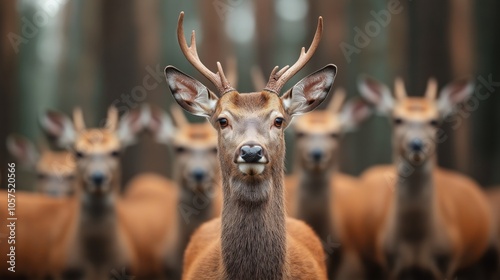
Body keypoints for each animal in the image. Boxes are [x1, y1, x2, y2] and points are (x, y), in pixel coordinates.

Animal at [340, 76, 496, 280]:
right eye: (398, 119)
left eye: (434, 121)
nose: (416, 144)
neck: (416, 241)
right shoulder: (389, 262)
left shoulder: (448, 260)